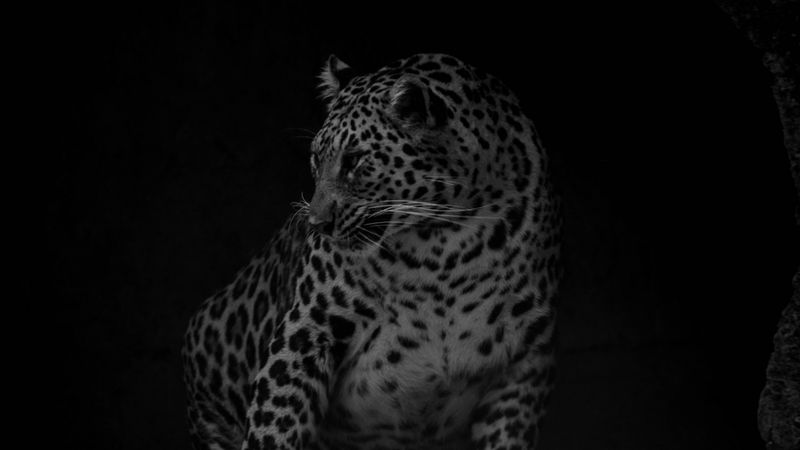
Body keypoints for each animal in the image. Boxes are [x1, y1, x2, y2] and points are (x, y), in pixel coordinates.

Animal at [182, 53, 561, 450]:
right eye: (316, 159)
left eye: (354, 160)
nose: (316, 223)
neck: (443, 250)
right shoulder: (305, 331)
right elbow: (274, 427)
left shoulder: (525, 364)